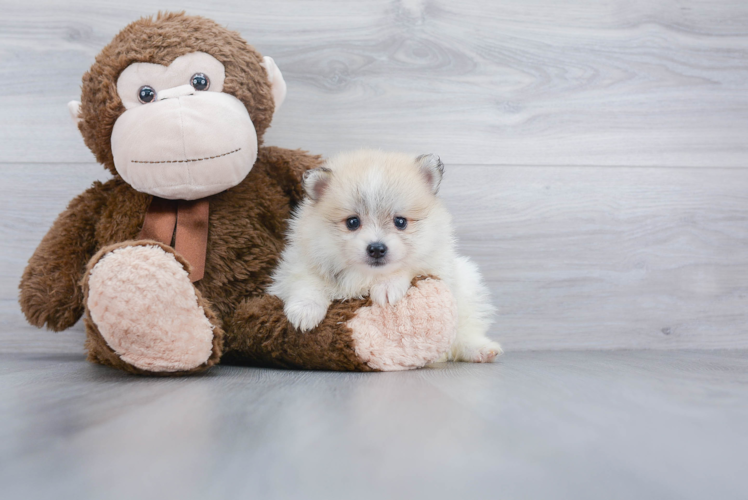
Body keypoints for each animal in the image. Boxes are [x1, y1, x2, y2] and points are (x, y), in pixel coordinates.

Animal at [268, 149, 502, 364]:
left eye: (400, 222)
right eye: (352, 222)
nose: (377, 248)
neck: (366, 276)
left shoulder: (438, 266)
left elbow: (409, 266)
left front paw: (387, 286)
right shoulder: (298, 263)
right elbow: (307, 282)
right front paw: (305, 311)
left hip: (467, 286)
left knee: (464, 332)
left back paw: (480, 349)